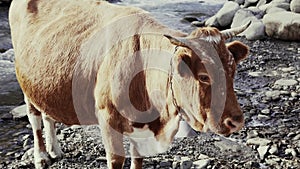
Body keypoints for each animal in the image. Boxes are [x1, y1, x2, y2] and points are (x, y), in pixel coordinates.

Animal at [8, 0, 248, 169]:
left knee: (47, 114)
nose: (236, 121)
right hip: (24, 82)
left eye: (233, 70)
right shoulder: (107, 119)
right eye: (204, 76)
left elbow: (138, 159)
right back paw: (41, 157)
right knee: (34, 118)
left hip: (43, 82)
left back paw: (55, 150)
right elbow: (116, 160)